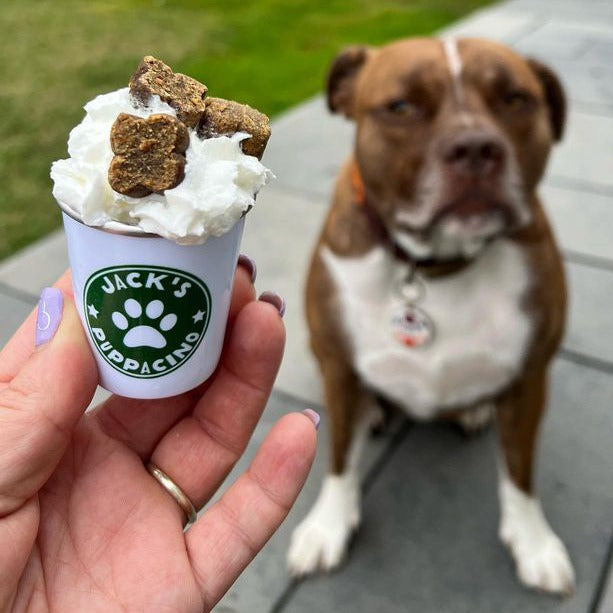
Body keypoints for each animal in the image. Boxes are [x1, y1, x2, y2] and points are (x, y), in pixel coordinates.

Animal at [286, 35, 572, 596]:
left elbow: (520, 472)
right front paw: (328, 526)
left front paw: (534, 542)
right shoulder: (338, 367)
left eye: (516, 99)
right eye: (401, 107)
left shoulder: (531, 379)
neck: (435, 264)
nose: (476, 149)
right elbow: (339, 458)